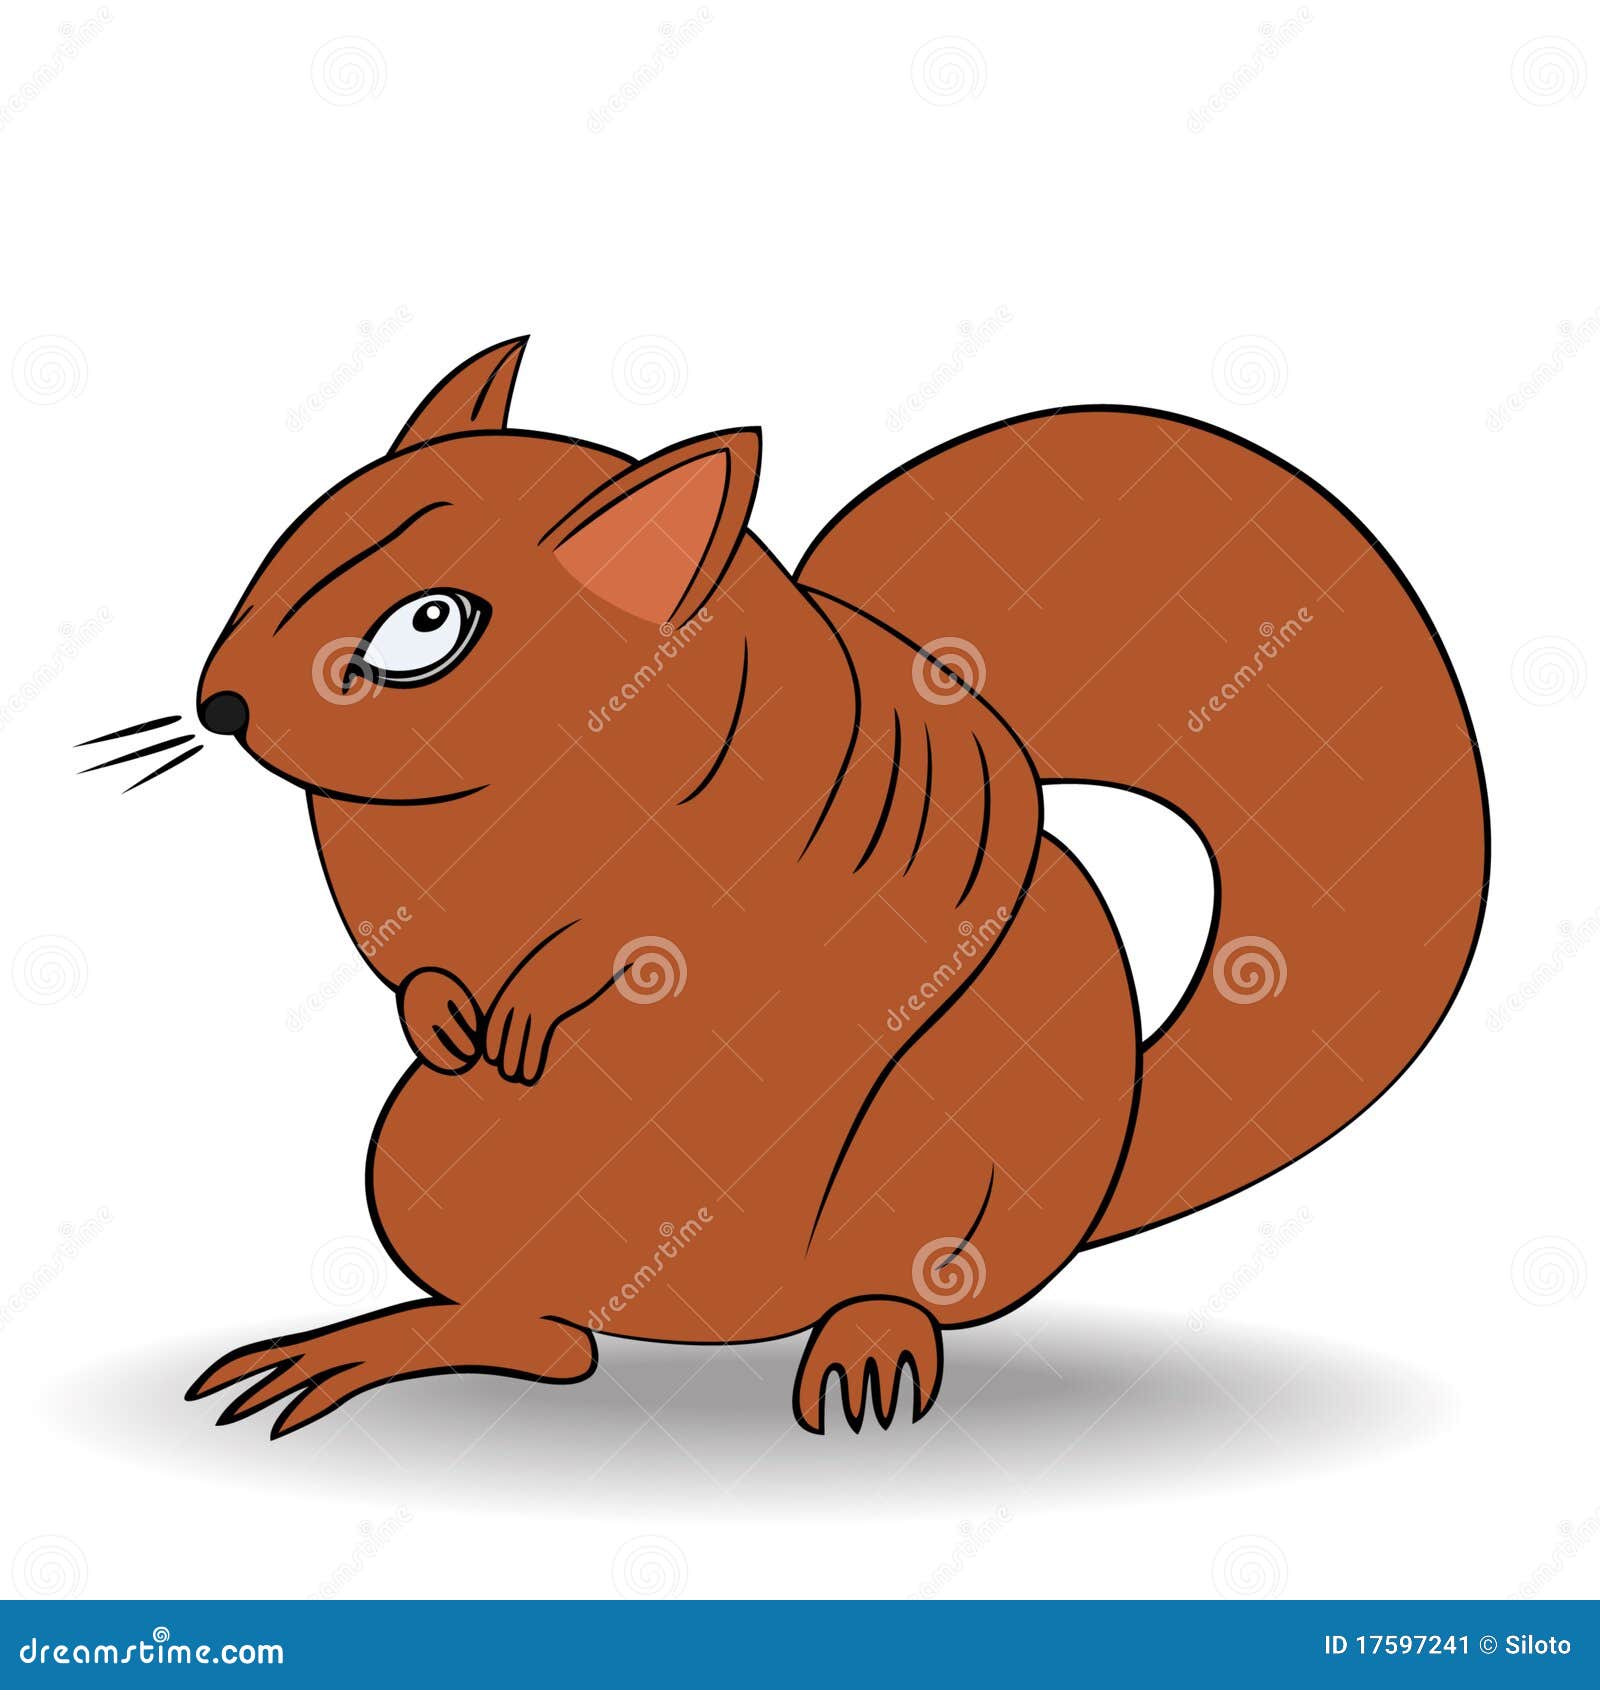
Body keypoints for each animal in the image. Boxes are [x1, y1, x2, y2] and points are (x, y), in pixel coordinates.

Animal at [184, 337, 1487, 1437]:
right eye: (288, 546)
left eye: (429, 625)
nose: (221, 705)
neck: (525, 788)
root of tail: (724, 1322)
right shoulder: (387, 878)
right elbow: (396, 950)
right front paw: (443, 1007)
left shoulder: (738, 861)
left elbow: (651, 940)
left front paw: (542, 990)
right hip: (428, 1165)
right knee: (550, 1343)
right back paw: (390, 1341)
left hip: (961, 1164)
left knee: (892, 1291)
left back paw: (869, 1344)